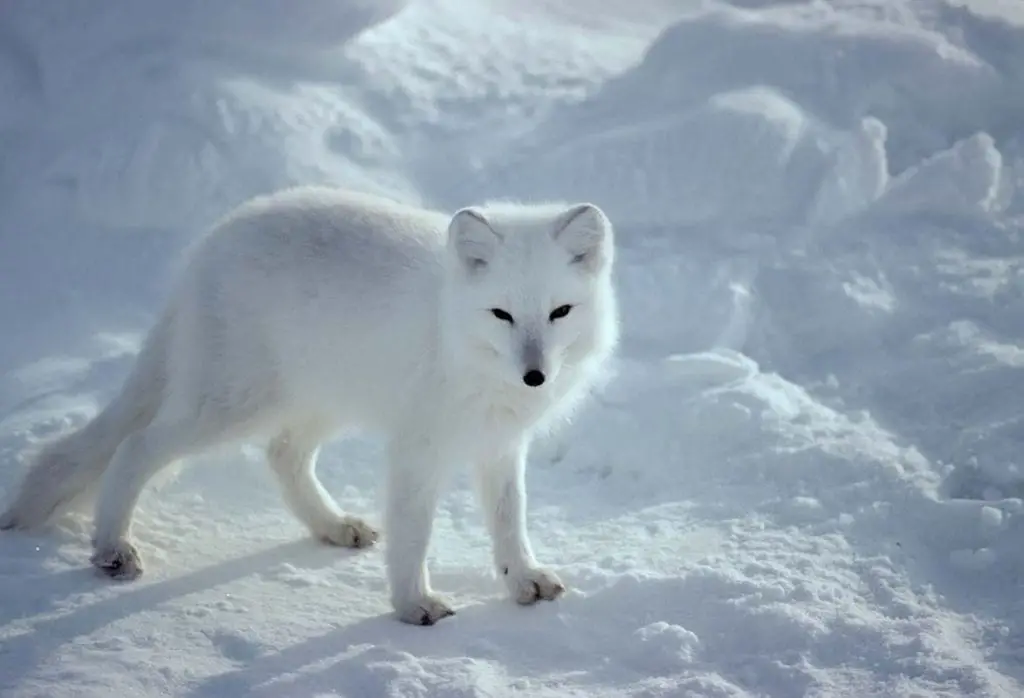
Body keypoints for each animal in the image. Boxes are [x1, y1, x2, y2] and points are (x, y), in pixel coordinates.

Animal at [0, 186, 618, 626]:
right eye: (502, 314)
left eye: (560, 312)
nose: (535, 377)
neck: (457, 338)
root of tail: (207, 246)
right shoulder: (418, 447)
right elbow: (414, 532)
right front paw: (412, 603)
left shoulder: (499, 445)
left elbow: (510, 521)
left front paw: (523, 581)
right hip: (231, 406)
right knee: (136, 445)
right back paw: (112, 547)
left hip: (316, 401)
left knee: (282, 455)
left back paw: (333, 526)